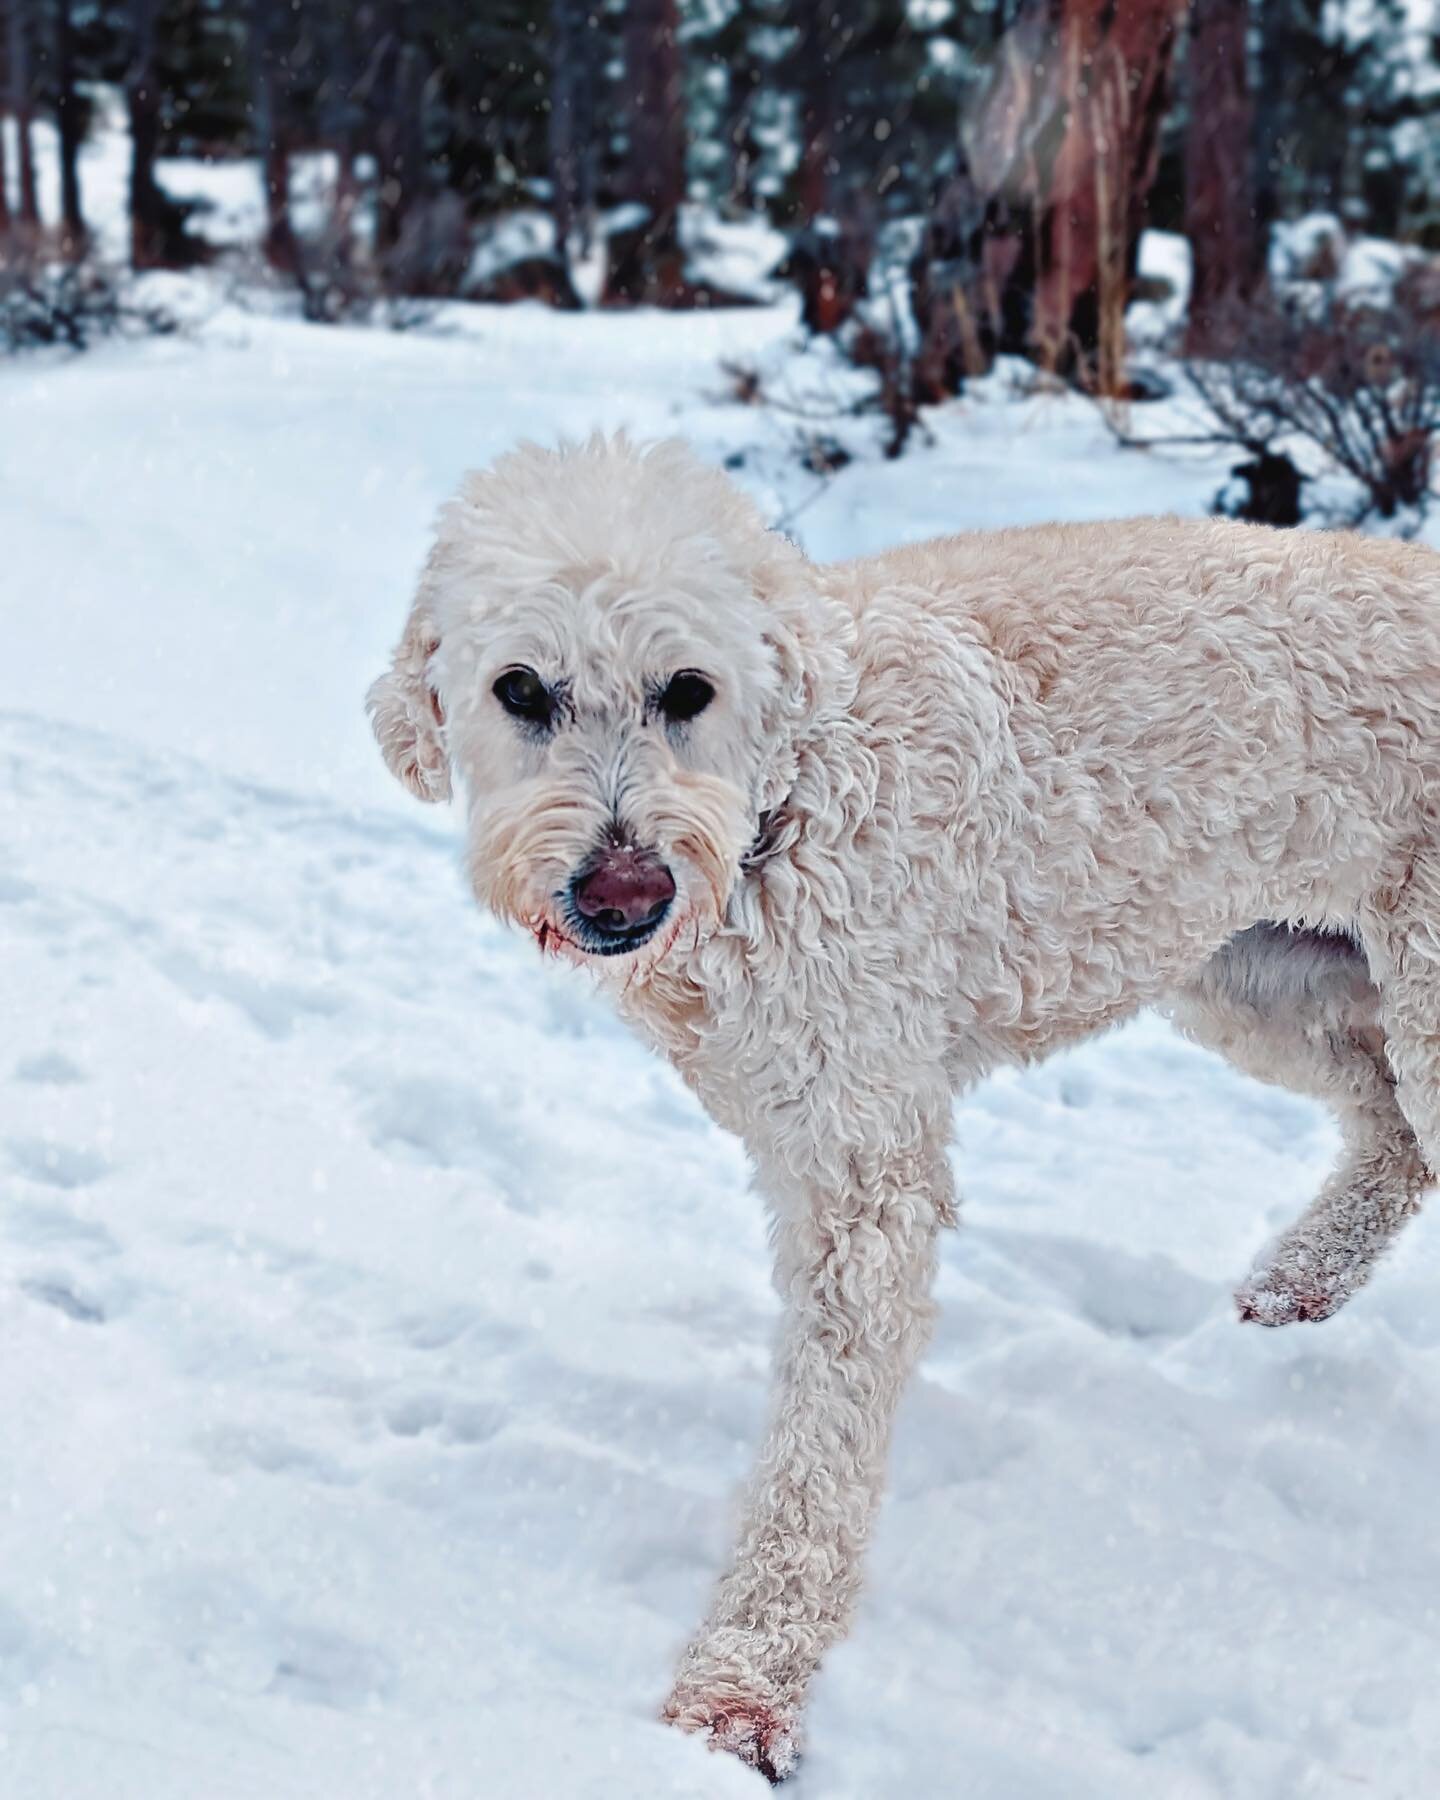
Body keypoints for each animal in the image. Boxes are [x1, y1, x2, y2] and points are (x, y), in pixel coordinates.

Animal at [374, 439, 1440, 1785]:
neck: (781, 806)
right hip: (1252, 965)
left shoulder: (864, 1169)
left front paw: (742, 1693)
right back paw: (1302, 1276)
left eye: (688, 688)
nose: (622, 889)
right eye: (518, 688)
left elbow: (820, 1455)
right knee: (1394, 1130)